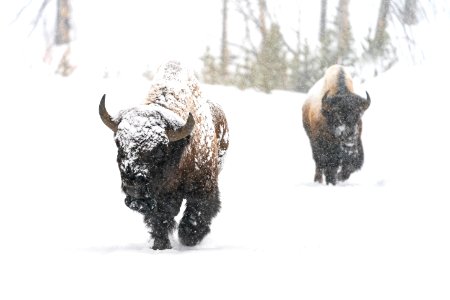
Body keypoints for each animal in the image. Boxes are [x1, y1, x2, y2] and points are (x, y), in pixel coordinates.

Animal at [100, 60, 230, 248]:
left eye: (160, 149)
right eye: (118, 143)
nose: (133, 187)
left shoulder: (204, 186)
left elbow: (197, 212)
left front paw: (188, 237)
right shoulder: (159, 197)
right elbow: (160, 218)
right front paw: (161, 245)